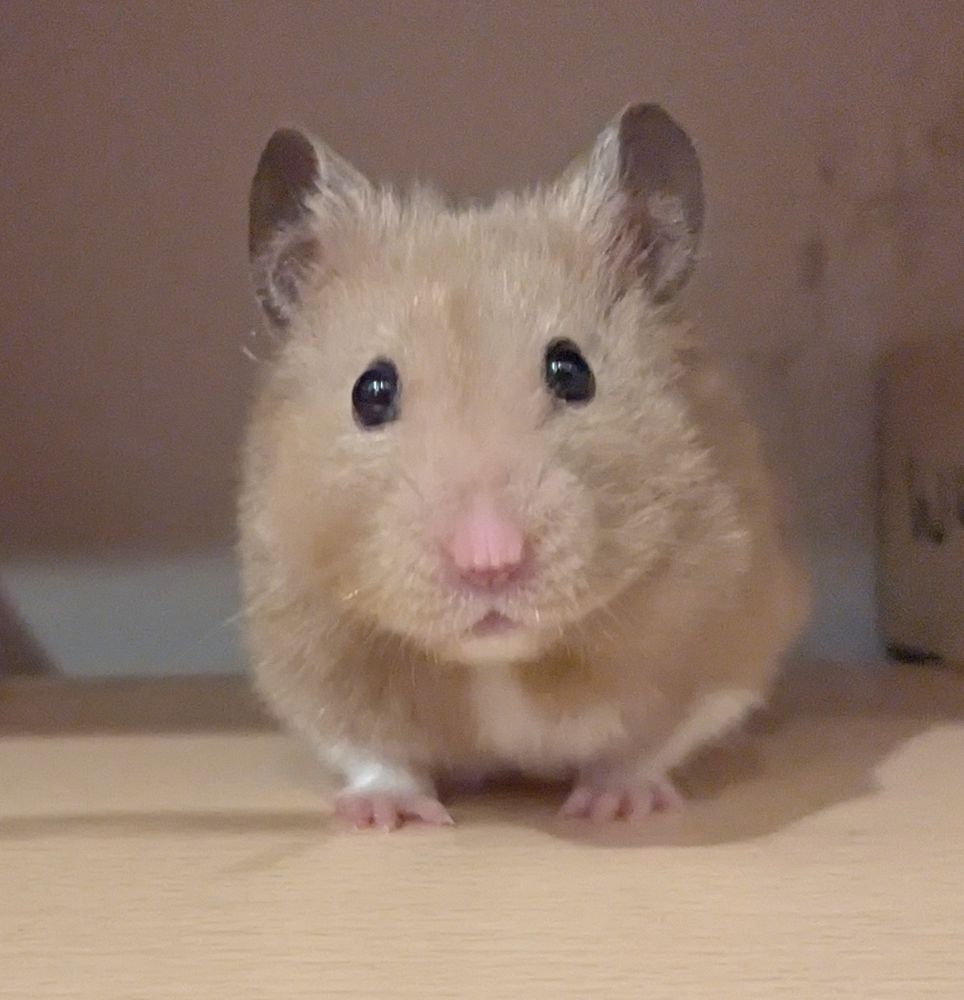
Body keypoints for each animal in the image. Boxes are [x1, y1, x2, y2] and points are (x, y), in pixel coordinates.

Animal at [238, 103, 809, 830]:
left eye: (572, 371)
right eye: (371, 391)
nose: (490, 562)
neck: (496, 663)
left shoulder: (726, 632)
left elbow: (650, 743)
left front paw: (616, 806)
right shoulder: (302, 640)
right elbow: (373, 750)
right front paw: (385, 817)